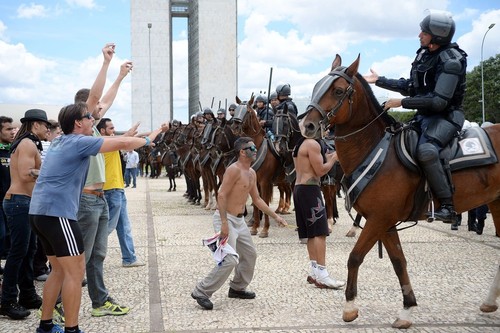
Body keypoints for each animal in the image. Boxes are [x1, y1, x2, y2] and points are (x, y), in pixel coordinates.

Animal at [298, 54, 500, 326]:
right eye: (317, 86)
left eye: (338, 91)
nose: (307, 126)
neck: (375, 149)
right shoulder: (385, 222)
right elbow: (398, 261)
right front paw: (407, 309)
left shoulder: (379, 219)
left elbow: (354, 257)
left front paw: (350, 307)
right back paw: (489, 301)